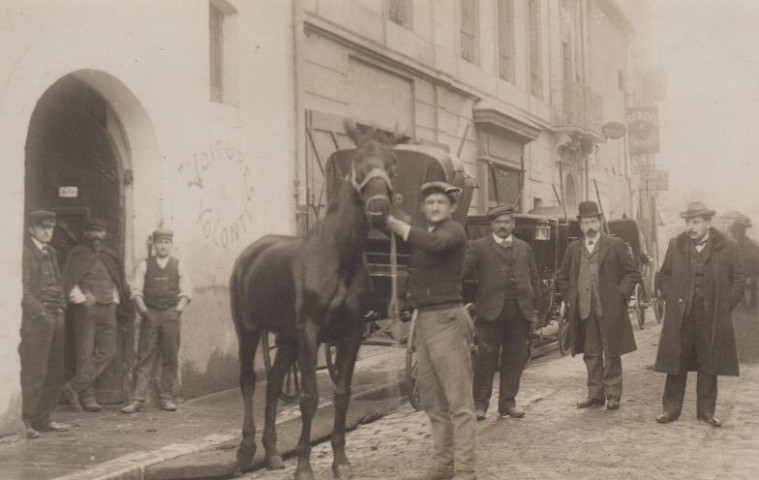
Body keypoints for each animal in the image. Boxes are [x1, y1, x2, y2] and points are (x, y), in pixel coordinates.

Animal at [230, 124, 398, 480]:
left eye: (393, 163)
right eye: (358, 162)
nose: (379, 210)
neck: (338, 259)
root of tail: (250, 253)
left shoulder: (350, 334)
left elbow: (342, 393)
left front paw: (341, 461)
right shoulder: (310, 333)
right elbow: (309, 398)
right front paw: (304, 465)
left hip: (286, 339)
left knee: (273, 383)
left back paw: (272, 453)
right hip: (248, 331)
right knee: (249, 381)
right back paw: (246, 449)